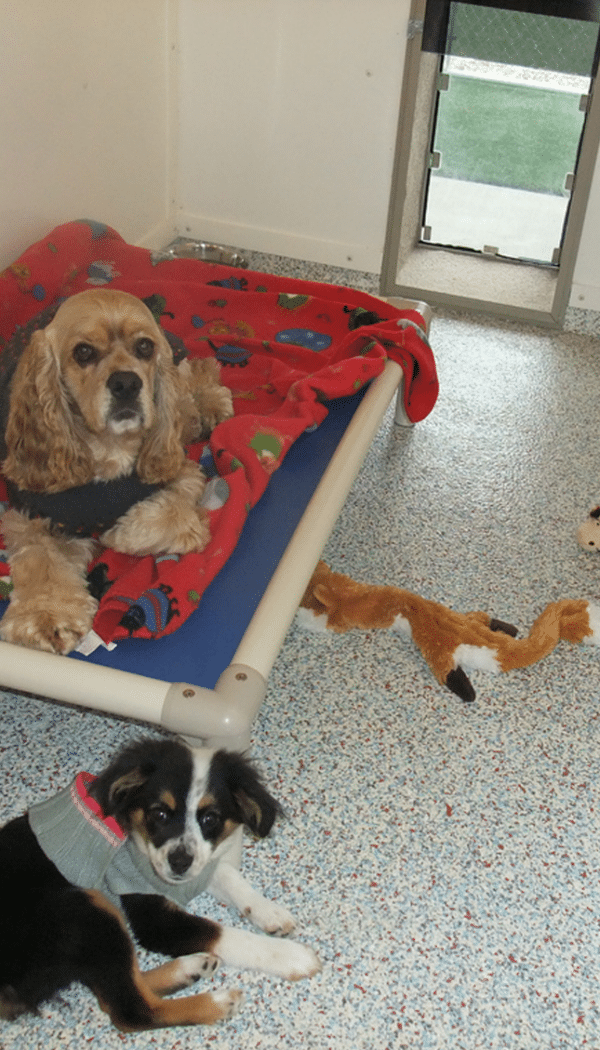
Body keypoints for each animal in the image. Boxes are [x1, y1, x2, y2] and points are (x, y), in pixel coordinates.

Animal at [0, 739, 321, 1033]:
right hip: (87, 908)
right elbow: (224, 934)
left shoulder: (196, 869)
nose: (179, 862)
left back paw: (189, 969)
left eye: (210, 818)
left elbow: (227, 875)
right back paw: (216, 1003)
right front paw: (290, 956)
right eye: (160, 814)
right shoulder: (153, 916)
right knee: (131, 1010)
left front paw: (271, 913)